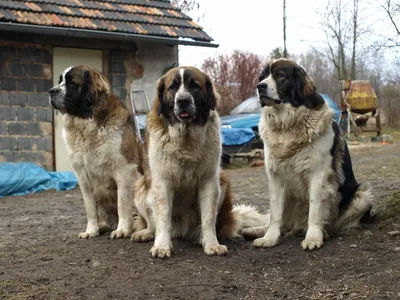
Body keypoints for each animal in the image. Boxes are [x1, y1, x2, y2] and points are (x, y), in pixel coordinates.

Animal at [48, 65, 143, 239]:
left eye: (72, 84)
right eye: (60, 81)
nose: (51, 91)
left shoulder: (125, 171)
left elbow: (122, 203)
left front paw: (123, 229)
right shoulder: (83, 176)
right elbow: (90, 207)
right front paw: (91, 230)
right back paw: (104, 225)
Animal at [131, 65, 268, 258]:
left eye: (194, 86)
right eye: (172, 87)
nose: (182, 100)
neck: (186, 138)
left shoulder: (209, 181)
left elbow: (208, 218)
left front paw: (212, 244)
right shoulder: (162, 182)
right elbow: (163, 218)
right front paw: (162, 245)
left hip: (222, 181)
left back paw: (202, 237)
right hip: (141, 188)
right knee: (152, 223)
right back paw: (147, 233)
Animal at [241, 58, 376, 251]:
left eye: (280, 76)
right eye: (262, 77)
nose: (260, 86)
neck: (288, 124)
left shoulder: (318, 175)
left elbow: (315, 209)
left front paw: (313, 237)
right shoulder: (275, 176)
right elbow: (275, 213)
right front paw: (270, 238)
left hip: (362, 197)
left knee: (336, 221)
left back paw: (324, 232)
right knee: (281, 222)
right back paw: (256, 230)